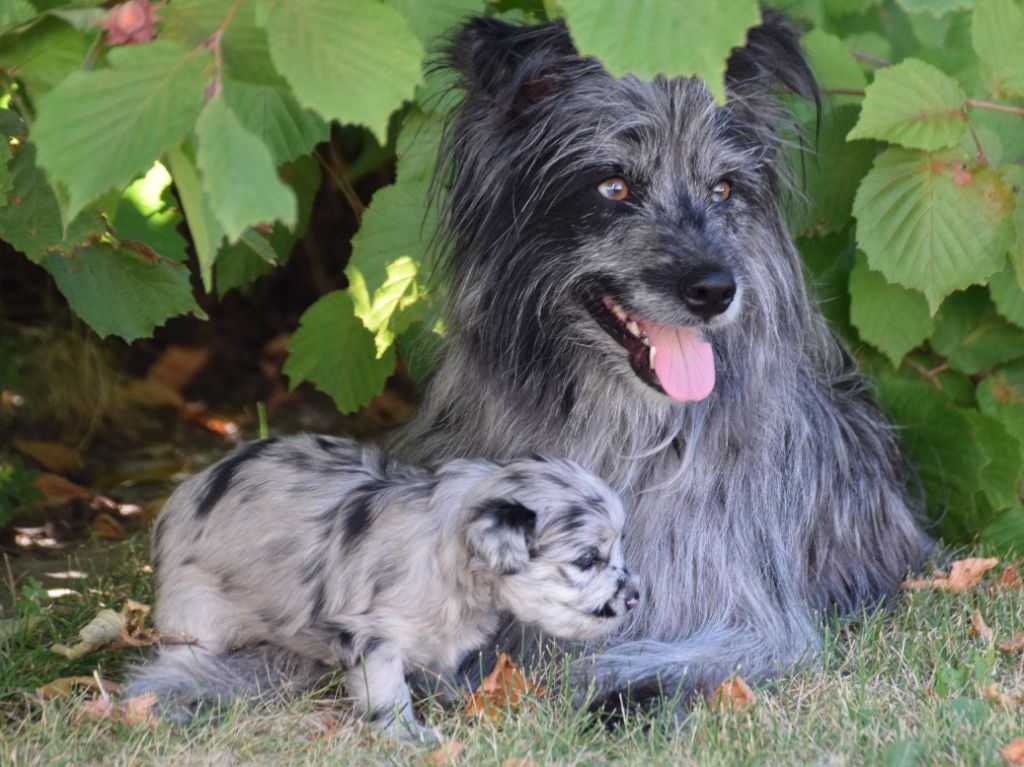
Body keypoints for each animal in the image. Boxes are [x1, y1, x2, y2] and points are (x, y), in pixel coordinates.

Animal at [126, 430, 634, 737]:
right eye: (587, 560)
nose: (634, 597)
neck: (447, 554)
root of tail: (185, 489)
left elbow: (439, 671)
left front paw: (456, 702)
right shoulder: (374, 636)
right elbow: (389, 691)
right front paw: (407, 735)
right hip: (194, 609)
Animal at [387, 11, 933, 704]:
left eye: (723, 188)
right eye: (615, 185)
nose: (716, 289)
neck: (623, 423)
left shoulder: (750, 623)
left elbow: (633, 664)